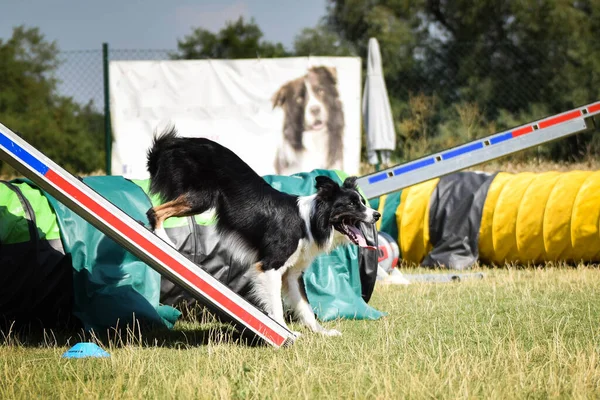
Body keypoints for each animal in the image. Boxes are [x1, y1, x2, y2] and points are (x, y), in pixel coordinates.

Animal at [146, 130, 380, 336]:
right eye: (352, 205)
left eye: (362, 202)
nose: (377, 214)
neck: (310, 221)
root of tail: (180, 141)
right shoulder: (269, 267)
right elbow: (276, 305)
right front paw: (284, 331)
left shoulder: (293, 274)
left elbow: (305, 306)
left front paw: (322, 332)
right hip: (201, 197)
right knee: (154, 211)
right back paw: (163, 240)